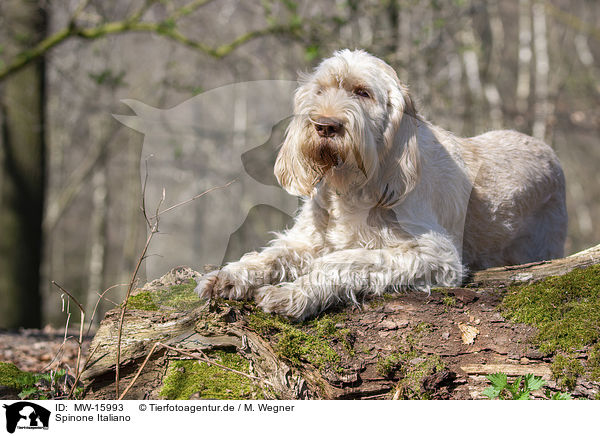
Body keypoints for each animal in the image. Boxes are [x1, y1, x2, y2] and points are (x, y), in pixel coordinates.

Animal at [196, 49, 568, 320]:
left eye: (363, 93)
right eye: (320, 91)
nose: (326, 126)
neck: (350, 186)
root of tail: (550, 152)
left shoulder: (436, 255)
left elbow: (343, 261)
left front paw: (292, 294)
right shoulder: (308, 240)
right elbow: (271, 256)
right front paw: (229, 276)